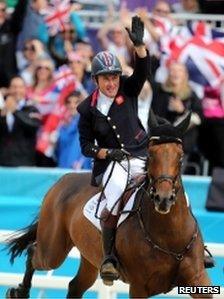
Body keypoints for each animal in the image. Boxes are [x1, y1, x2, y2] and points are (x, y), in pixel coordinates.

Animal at [5, 113, 212, 299]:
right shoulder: (139, 287)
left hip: (89, 257)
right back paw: (18, 292)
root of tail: (63, 180)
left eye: (180, 157)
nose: (163, 199)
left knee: (75, 287)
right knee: (34, 252)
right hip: (52, 251)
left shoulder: (198, 279)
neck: (170, 234)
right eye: (151, 155)